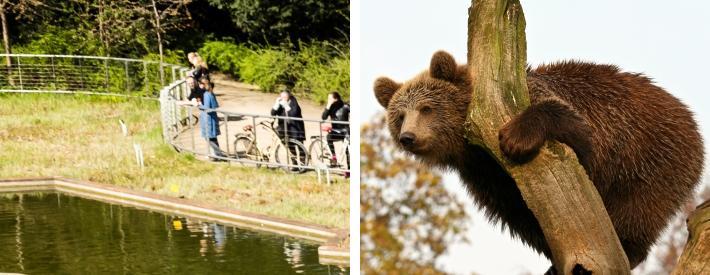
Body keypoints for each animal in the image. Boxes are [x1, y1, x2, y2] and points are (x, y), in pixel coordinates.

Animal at [372, 51, 708, 272]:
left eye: (426, 108)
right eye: (399, 115)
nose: (408, 137)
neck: (470, 146)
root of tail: (687, 114)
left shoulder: (542, 103)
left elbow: (575, 132)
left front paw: (517, 137)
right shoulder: (483, 175)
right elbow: (520, 214)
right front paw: (553, 262)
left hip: (651, 156)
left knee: (640, 208)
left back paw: (628, 247)